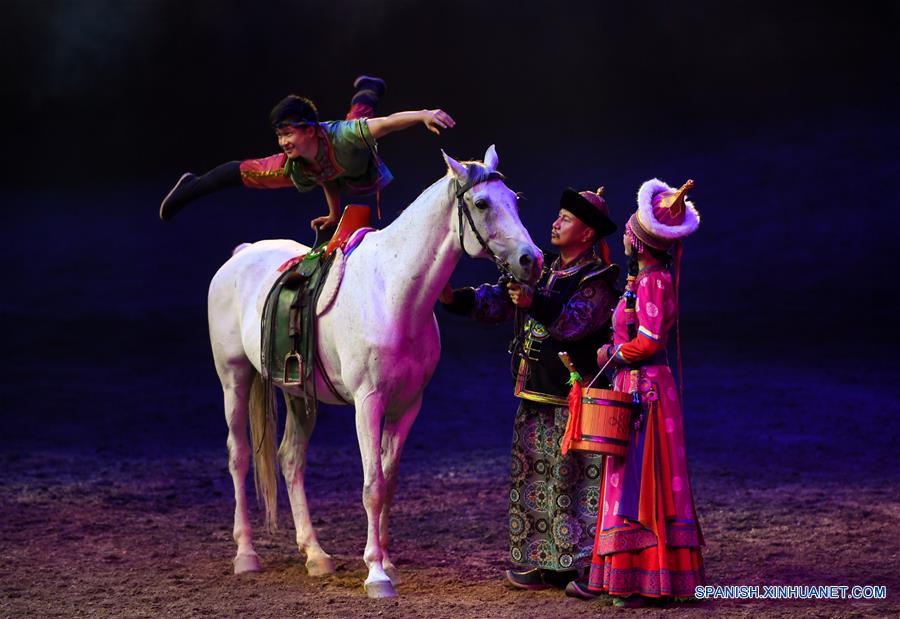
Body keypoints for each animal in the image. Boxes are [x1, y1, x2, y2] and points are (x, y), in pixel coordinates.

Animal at [207, 147, 536, 600]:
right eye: (483, 203)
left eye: (516, 201)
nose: (531, 259)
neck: (394, 292)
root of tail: (240, 254)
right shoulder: (368, 403)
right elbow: (372, 485)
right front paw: (376, 573)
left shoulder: (407, 406)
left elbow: (389, 480)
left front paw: (387, 561)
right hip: (234, 379)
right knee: (238, 456)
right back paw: (246, 554)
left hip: (297, 393)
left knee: (290, 459)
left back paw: (315, 554)